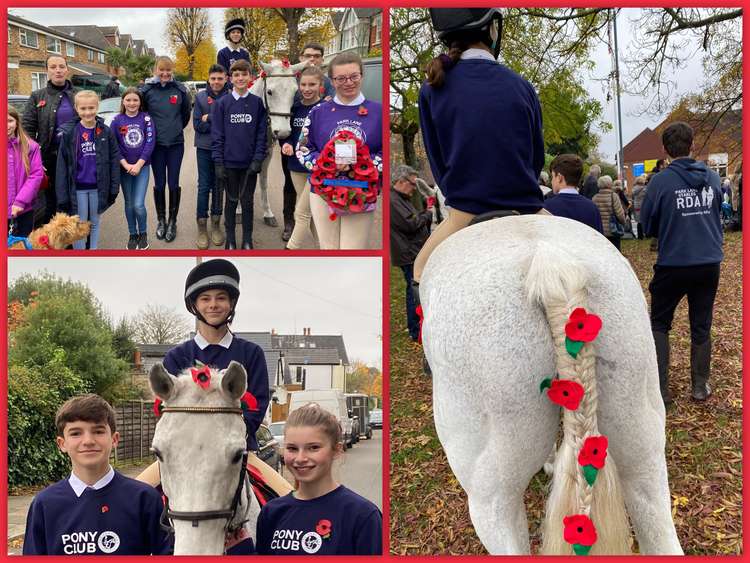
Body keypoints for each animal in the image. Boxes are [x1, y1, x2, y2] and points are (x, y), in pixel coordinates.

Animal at [251, 60, 306, 228]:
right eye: (269, 92)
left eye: (295, 92)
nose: (282, 132)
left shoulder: (266, 157)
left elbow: (263, 182)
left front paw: (268, 213)